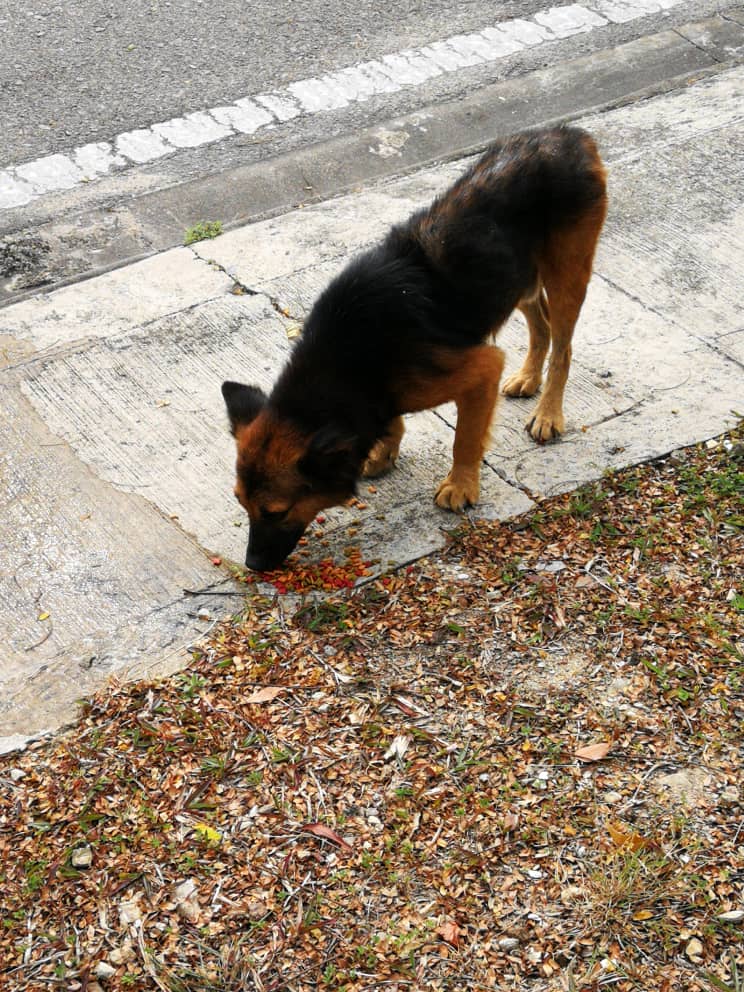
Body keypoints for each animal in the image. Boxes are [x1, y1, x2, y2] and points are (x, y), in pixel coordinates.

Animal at [221, 128, 604, 568]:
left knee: (563, 346)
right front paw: (385, 449)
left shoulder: (479, 370)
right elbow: (392, 420)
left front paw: (461, 485)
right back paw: (528, 377)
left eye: (275, 512)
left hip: (565, 273)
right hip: (514, 280)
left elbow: (465, 438)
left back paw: (549, 413)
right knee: (540, 323)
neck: (344, 362)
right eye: (240, 503)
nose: (253, 565)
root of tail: (567, 134)